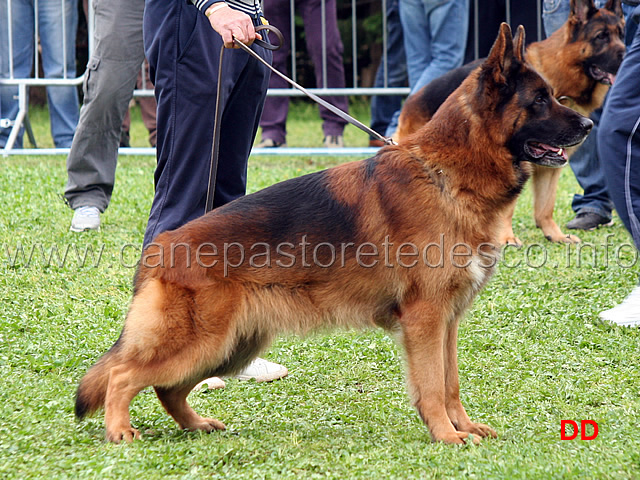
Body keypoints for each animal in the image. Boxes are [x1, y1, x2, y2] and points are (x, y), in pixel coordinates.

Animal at [77, 25, 592, 446]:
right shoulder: (426, 319)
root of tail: (159, 250)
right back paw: (120, 431)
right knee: (122, 374)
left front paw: (461, 426)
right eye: (540, 101)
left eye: (554, 95)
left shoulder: (447, 320)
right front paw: (446, 435)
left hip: (230, 345)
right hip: (202, 342)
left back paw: (196, 424)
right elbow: (431, 385)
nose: (588, 124)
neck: (446, 174)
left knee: (166, 388)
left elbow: (450, 383)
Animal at [396, 0, 624, 246]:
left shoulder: (549, 168)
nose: (589, 125)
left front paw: (555, 235)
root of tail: (412, 99)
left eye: (622, 34)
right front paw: (506, 237)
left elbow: (546, 206)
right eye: (601, 36)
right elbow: (507, 207)